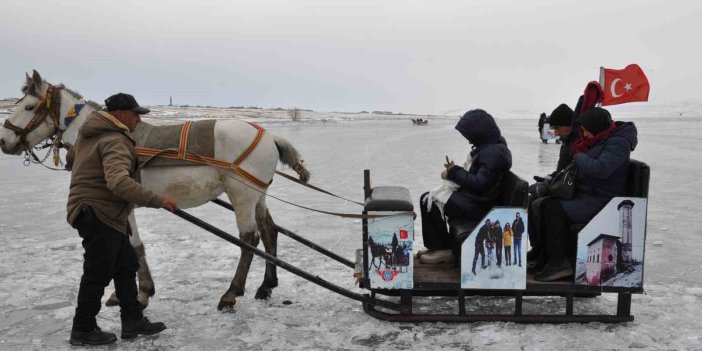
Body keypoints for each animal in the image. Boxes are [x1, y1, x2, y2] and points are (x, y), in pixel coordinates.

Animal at [0, 71, 314, 310]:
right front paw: (130, 292)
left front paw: (142, 293)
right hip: (257, 195)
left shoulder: (122, 204)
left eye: (29, 107)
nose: (4, 141)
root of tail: (270, 135)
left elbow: (135, 246)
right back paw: (266, 285)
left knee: (250, 238)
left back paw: (231, 293)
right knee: (270, 230)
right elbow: (130, 247)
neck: (103, 132)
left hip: (242, 196)